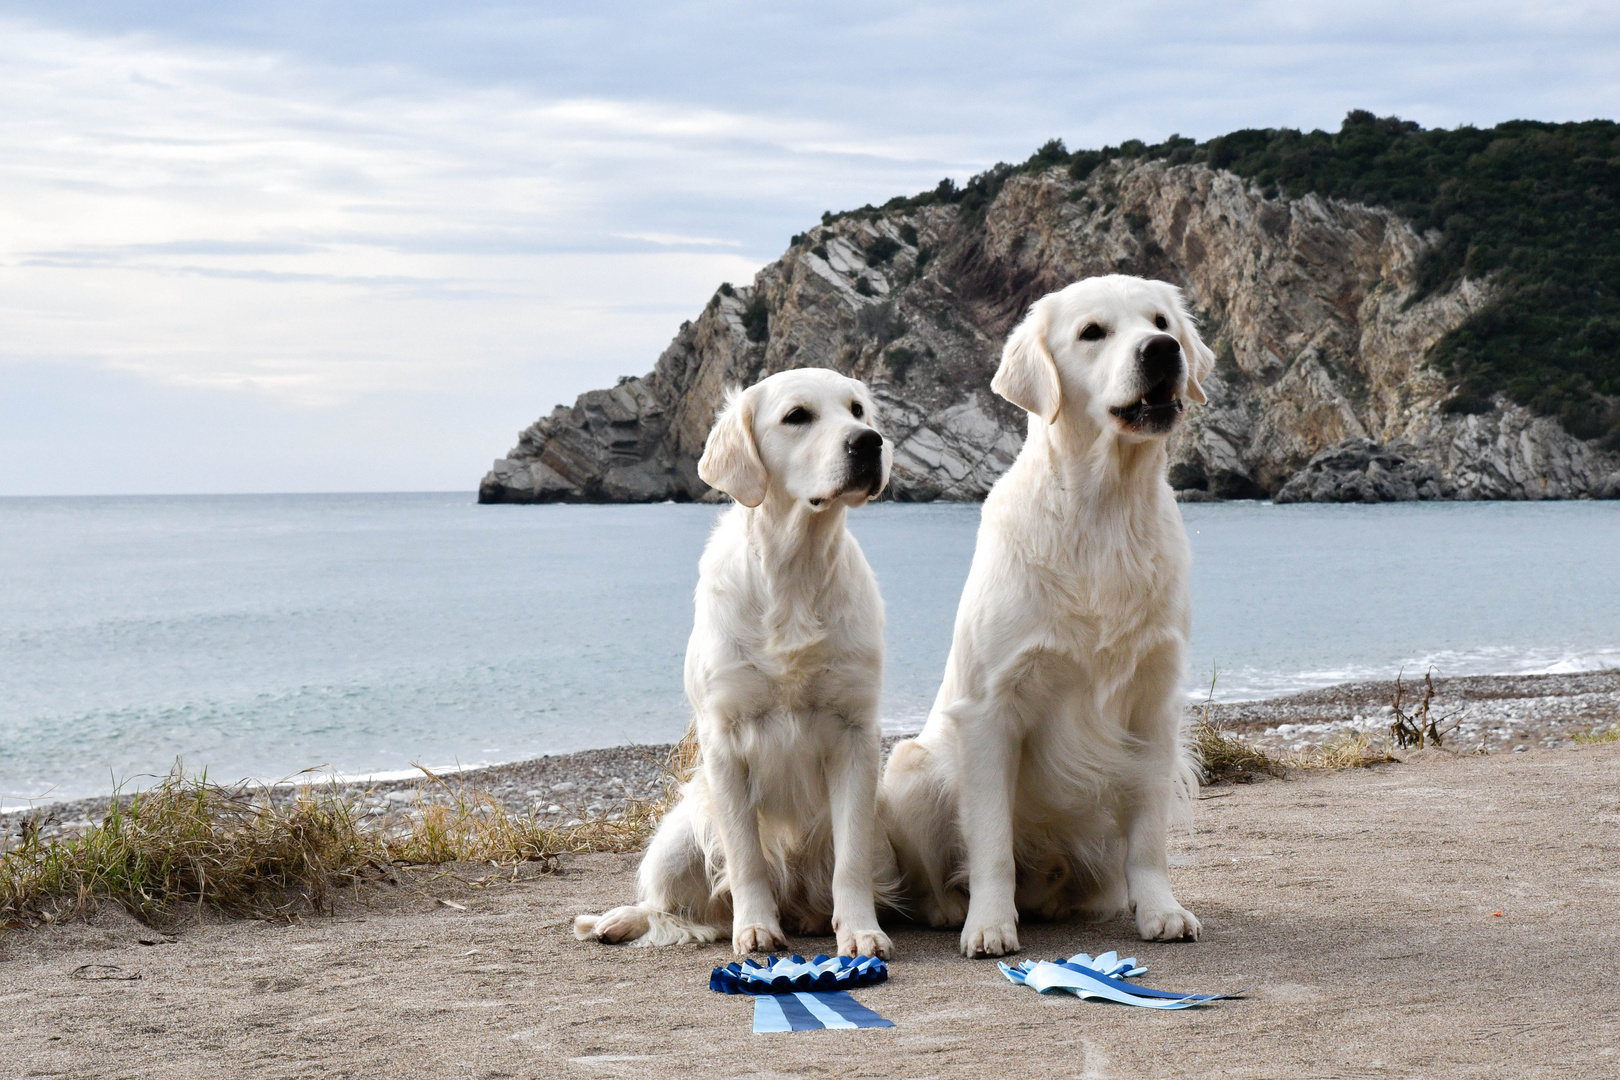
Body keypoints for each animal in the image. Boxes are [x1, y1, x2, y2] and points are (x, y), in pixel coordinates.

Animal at [573, 367, 900, 958]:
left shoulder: (856, 733)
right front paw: (753, 928)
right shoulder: (724, 737)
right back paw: (618, 920)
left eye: (858, 410)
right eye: (797, 416)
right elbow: (746, 856)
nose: (869, 443)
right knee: (668, 905)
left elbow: (851, 861)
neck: (794, 571)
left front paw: (861, 931)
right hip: (677, 837)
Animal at [881, 275, 1211, 958]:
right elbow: (991, 844)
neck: (1105, 511)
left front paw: (1161, 910)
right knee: (934, 876)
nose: (1163, 350)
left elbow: (1149, 838)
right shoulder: (990, 709)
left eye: (1161, 321)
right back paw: (950, 909)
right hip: (910, 769)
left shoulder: (1154, 707)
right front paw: (988, 924)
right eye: (1092, 332)